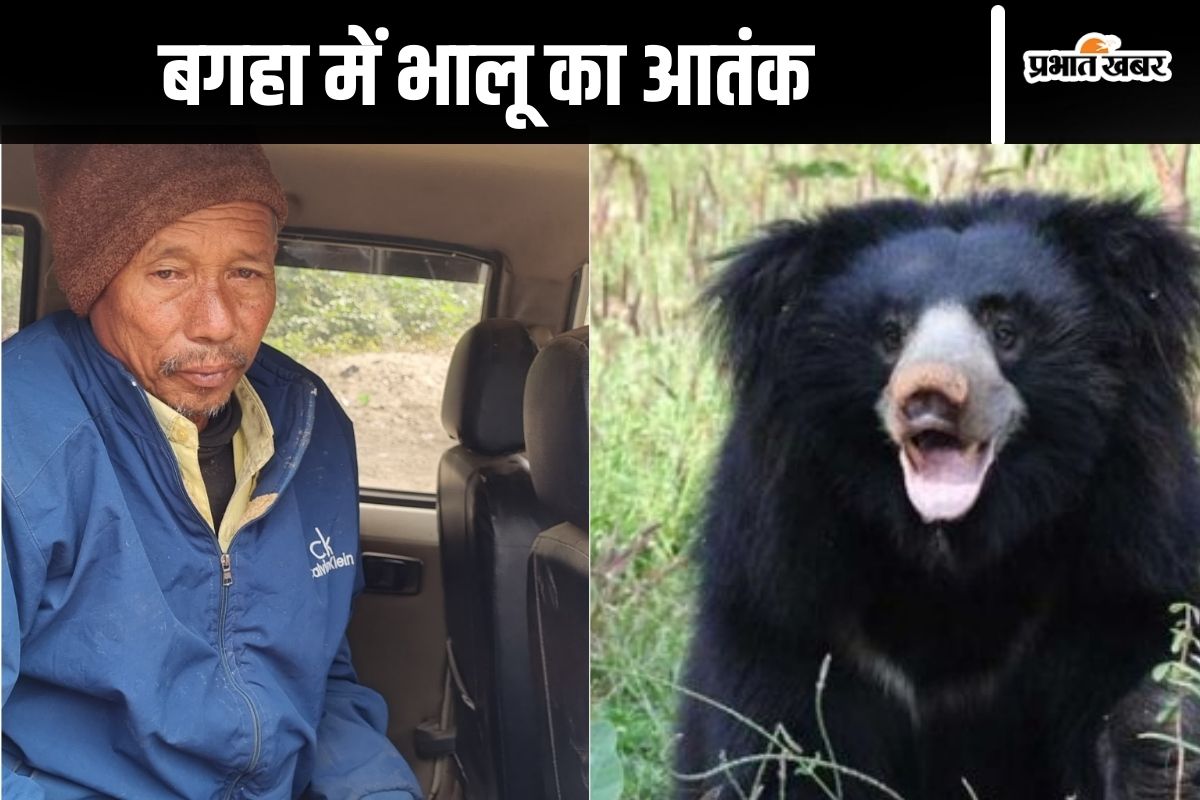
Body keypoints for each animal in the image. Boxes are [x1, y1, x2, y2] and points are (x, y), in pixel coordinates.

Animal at [675, 193, 1200, 800]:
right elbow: (773, 738)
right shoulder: (782, 591)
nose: (929, 394)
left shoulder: (1122, 554)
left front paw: (1160, 742)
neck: (951, 549)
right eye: (890, 335)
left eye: (1005, 330)